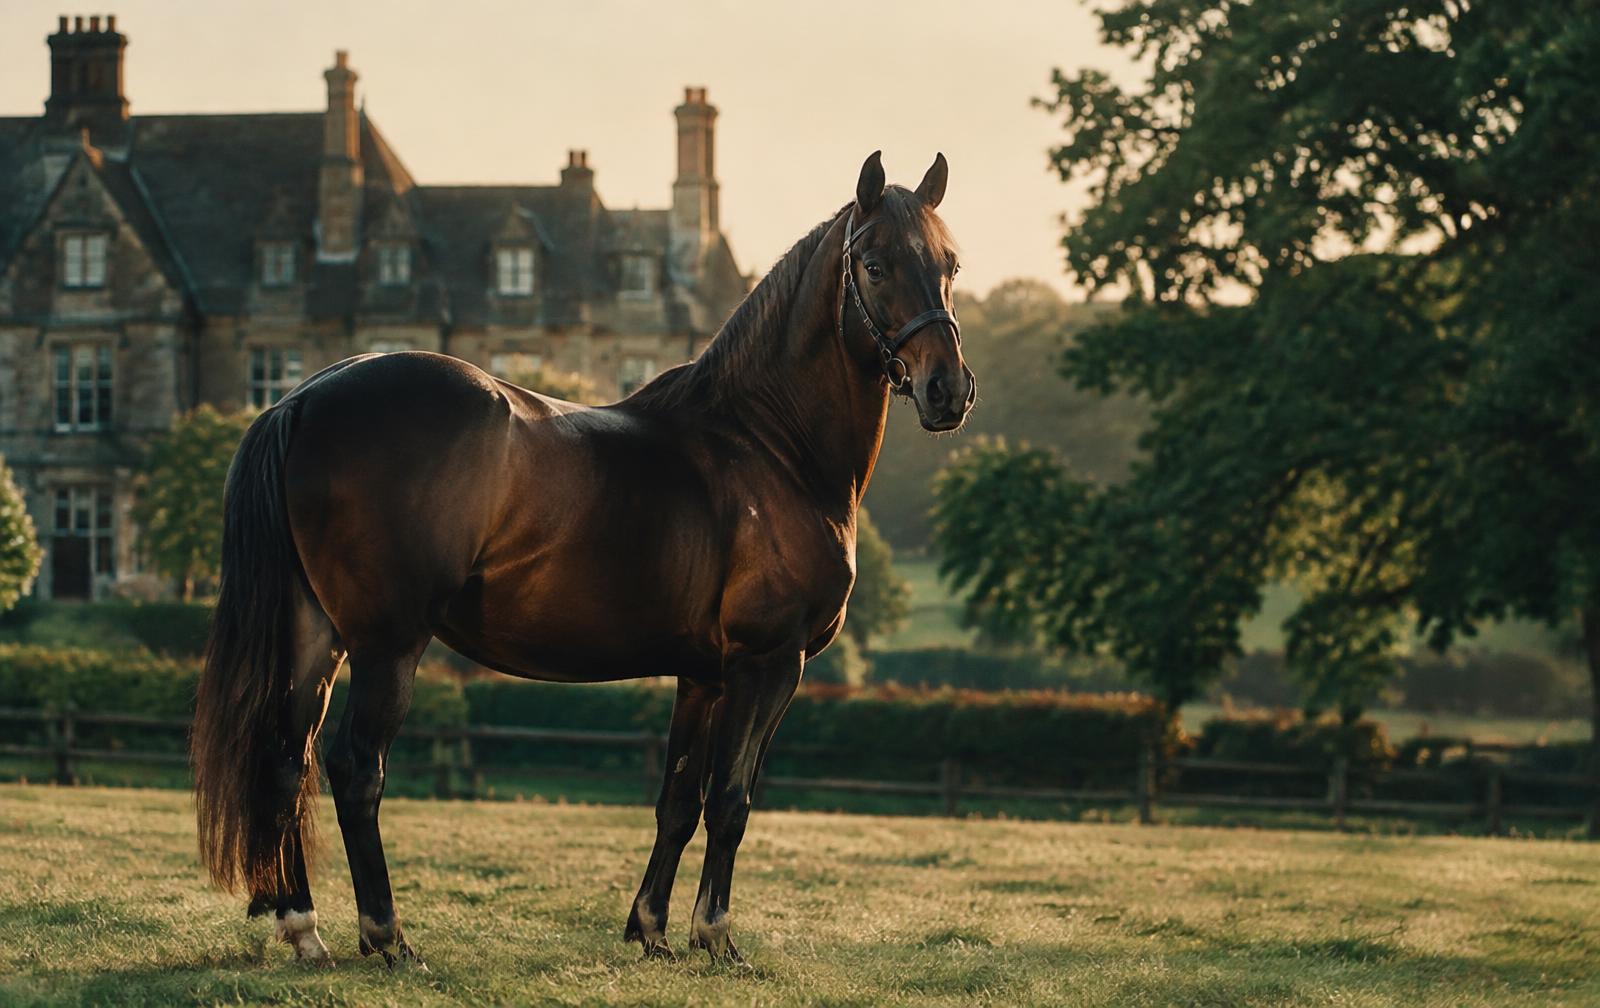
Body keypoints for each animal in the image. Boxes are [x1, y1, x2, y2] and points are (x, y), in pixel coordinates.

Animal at [191, 151, 975, 967]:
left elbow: (678, 802)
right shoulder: (769, 663)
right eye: (875, 265)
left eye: (950, 263)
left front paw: (652, 931)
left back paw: (303, 929)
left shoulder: (703, 676)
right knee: (353, 769)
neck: (766, 443)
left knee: (287, 759)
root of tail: (302, 398)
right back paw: (388, 936)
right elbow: (731, 802)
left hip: (315, 634)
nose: (948, 390)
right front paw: (716, 937)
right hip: (386, 645)